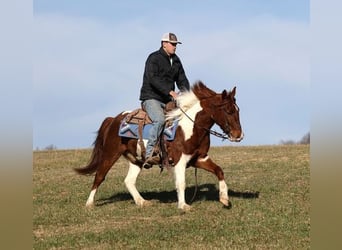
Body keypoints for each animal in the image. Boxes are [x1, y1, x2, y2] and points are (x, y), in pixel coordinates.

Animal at [74, 81, 243, 211]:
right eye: (228, 110)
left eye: (237, 110)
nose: (239, 135)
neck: (190, 127)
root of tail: (114, 119)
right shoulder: (179, 161)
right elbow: (181, 183)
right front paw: (183, 206)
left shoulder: (199, 158)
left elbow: (219, 171)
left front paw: (224, 199)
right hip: (110, 154)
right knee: (99, 176)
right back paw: (89, 204)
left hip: (136, 160)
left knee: (129, 181)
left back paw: (142, 202)